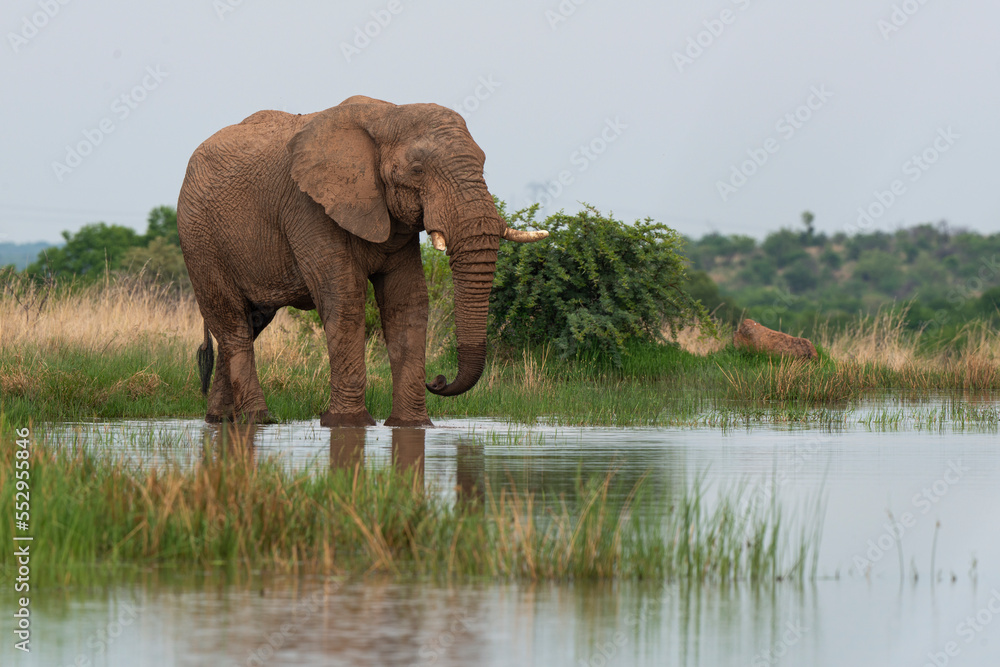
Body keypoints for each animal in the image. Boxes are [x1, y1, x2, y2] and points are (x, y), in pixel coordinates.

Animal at [177, 95, 546, 427]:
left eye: (483, 165)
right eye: (417, 170)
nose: (438, 380)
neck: (387, 116)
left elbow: (408, 302)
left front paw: (412, 425)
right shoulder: (308, 208)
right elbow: (344, 298)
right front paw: (348, 424)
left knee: (249, 324)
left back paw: (221, 419)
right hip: (199, 238)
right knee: (233, 325)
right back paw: (258, 419)